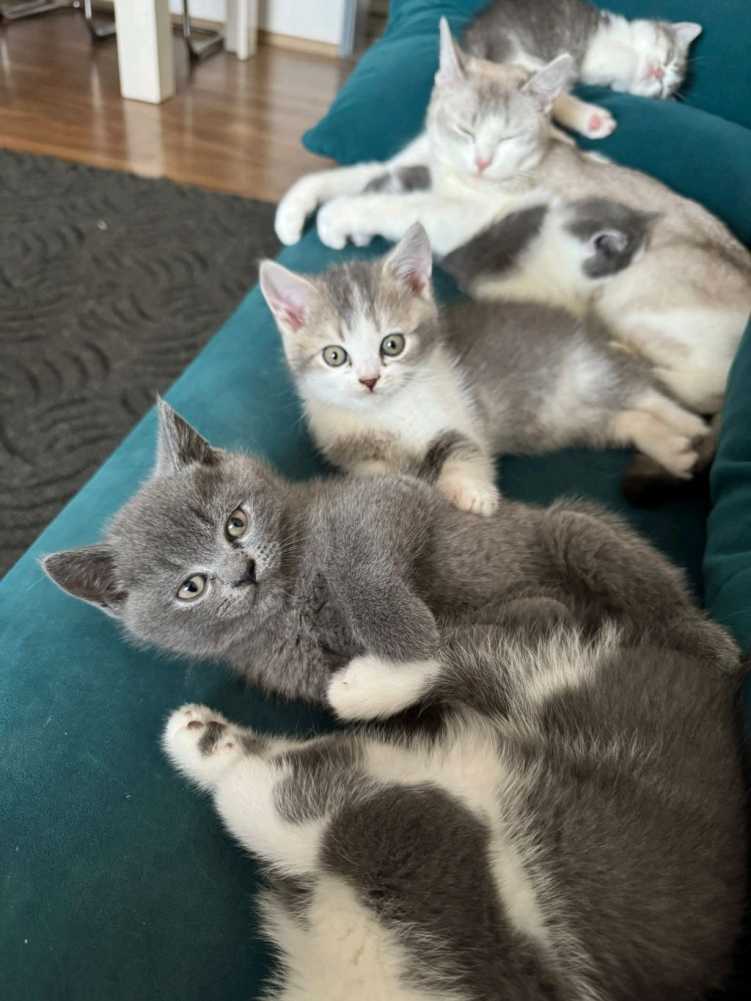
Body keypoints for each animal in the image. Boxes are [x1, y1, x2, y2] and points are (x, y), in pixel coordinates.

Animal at [43, 400, 738, 711]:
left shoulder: (390, 498)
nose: (243, 571)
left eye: (235, 523)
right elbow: (458, 655)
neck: (293, 603)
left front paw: (400, 636)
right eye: (190, 588)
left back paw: (710, 646)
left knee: (656, 596)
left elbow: (364, 562)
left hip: (577, 532)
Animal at [162, 614, 746, 1000]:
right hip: (559, 684)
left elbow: (267, 800)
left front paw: (222, 756)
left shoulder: (429, 846)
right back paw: (363, 686)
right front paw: (211, 743)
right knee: (463, 648)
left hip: (582, 692)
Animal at [260, 221, 708, 516]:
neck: (386, 413)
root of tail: (594, 332)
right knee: (625, 419)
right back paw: (675, 451)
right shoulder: (348, 451)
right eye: (335, 355)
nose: (369, 380)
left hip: (591, 370)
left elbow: (464, 448)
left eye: (393, 344)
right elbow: (378, 472)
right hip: (574, 421)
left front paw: (474, 493)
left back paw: (689, 427)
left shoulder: (456, 415)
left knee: (644, 392)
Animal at [278, 19, 751, 417]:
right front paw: (294, 212)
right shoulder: (412, 164)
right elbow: (350, 175)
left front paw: (339, 219)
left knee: (697, 388)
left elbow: (399, 205)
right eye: (464, 129)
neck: (448, 171)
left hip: (632, 298)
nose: (482, 162)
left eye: (509, 137)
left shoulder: (470, 216)